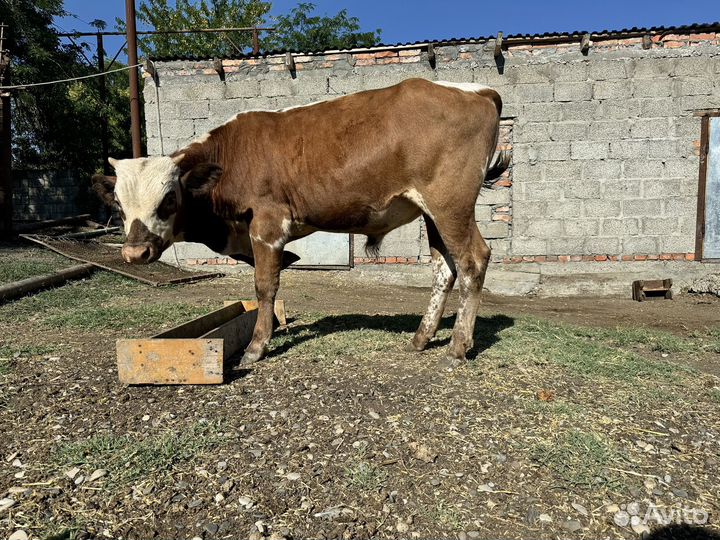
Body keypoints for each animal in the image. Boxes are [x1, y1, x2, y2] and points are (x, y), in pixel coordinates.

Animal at [92, 78, 509, 367]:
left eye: (169, 199)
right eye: (120, 205)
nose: (134, 253)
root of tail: (478, 90)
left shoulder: (267, 225)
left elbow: (265, 286)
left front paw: (255, 348)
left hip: (450, 204)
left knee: (473, 260)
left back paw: (457, 346)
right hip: (432, 212)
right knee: (445, 268)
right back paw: (422, 338)